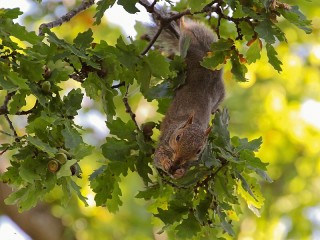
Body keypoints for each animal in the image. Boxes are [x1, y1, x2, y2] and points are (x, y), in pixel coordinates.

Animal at [148, 11, 225, 177]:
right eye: (178, 137)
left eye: (198, 151)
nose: (177, 163)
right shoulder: (165, 139)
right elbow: (158, 157)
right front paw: (166, 162)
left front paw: (179, 173)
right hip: (188, 46)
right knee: (186, 33)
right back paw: (182, 22)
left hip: (219, 93)